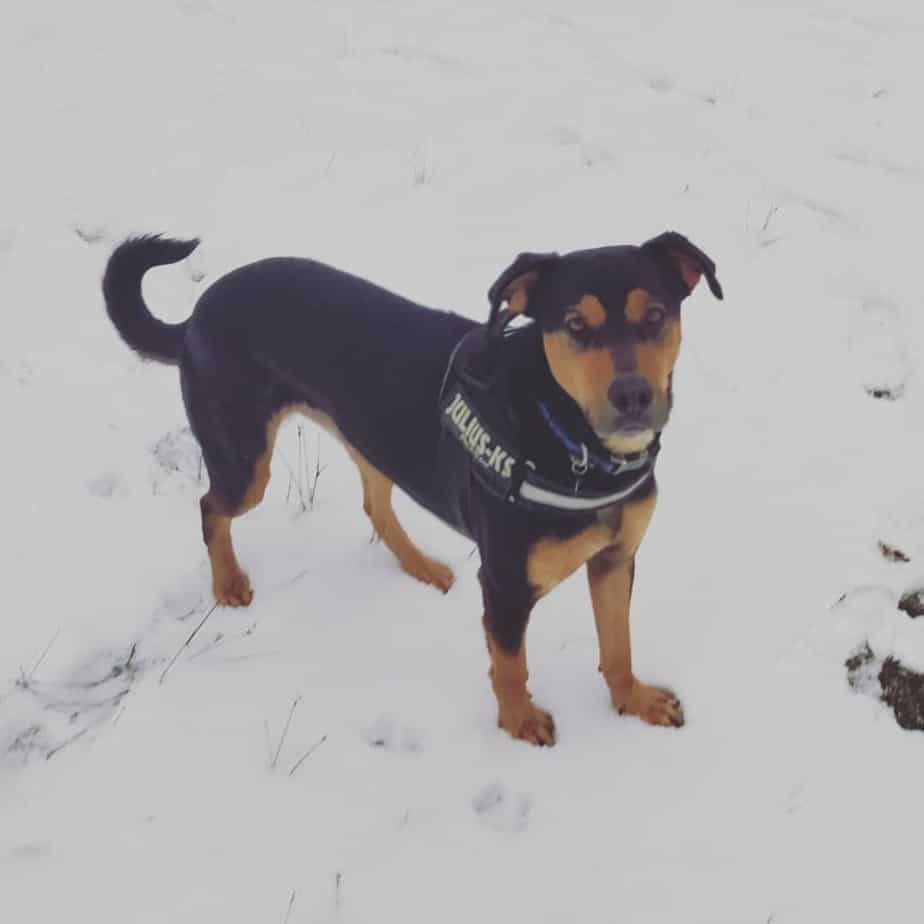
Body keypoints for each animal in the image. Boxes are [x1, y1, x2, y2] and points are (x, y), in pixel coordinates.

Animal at [101, 231, 720, 744]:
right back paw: (228, 582)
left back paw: (421, 567)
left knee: (374, 505)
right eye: (573, 324)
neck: (573, 444)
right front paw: (519, 722)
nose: (632, 395)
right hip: (245, 462)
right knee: (212, 506)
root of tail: (196, 315)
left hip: (370, 437)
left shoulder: (616, 558)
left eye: (656, 314)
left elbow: (618, 646)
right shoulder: (505, 584)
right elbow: (511, 664)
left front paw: (634, 701)